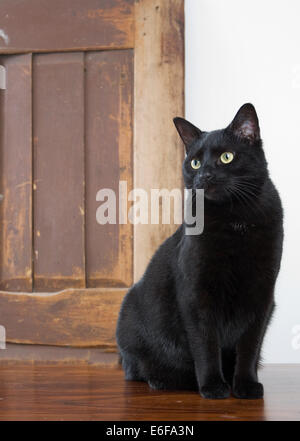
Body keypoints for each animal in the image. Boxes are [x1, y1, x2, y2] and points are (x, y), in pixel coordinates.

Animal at [116, 104, 282, 398]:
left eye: (226, 157)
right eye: (194, 162)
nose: (203, 175)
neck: (235, 219)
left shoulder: (262, 294)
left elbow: (249, 346)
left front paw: (246, 385)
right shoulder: (196, 294)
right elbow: (206, 345)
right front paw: (213, 386)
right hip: (129, 314)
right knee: (136, 368)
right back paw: (165, 380)